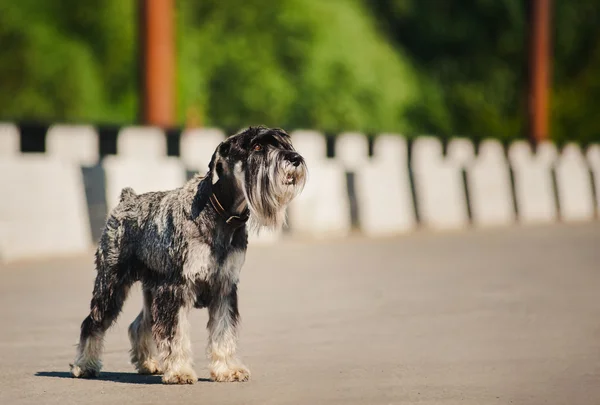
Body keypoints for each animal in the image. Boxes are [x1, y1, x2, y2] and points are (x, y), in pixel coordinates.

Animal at [68, 125, 308, 382]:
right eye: (257, 146)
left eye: (285, 144)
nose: (295, 158)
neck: (220, 212)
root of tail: (127, 198)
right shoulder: (176, 288)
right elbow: (175, 335)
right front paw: (180, 371)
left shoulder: (225, 287)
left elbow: (223, 332)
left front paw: (227, 369)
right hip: (112, 283)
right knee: (93, 322)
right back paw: (84, 365)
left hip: (151, 289)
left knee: (139, 324)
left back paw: (148, 363)